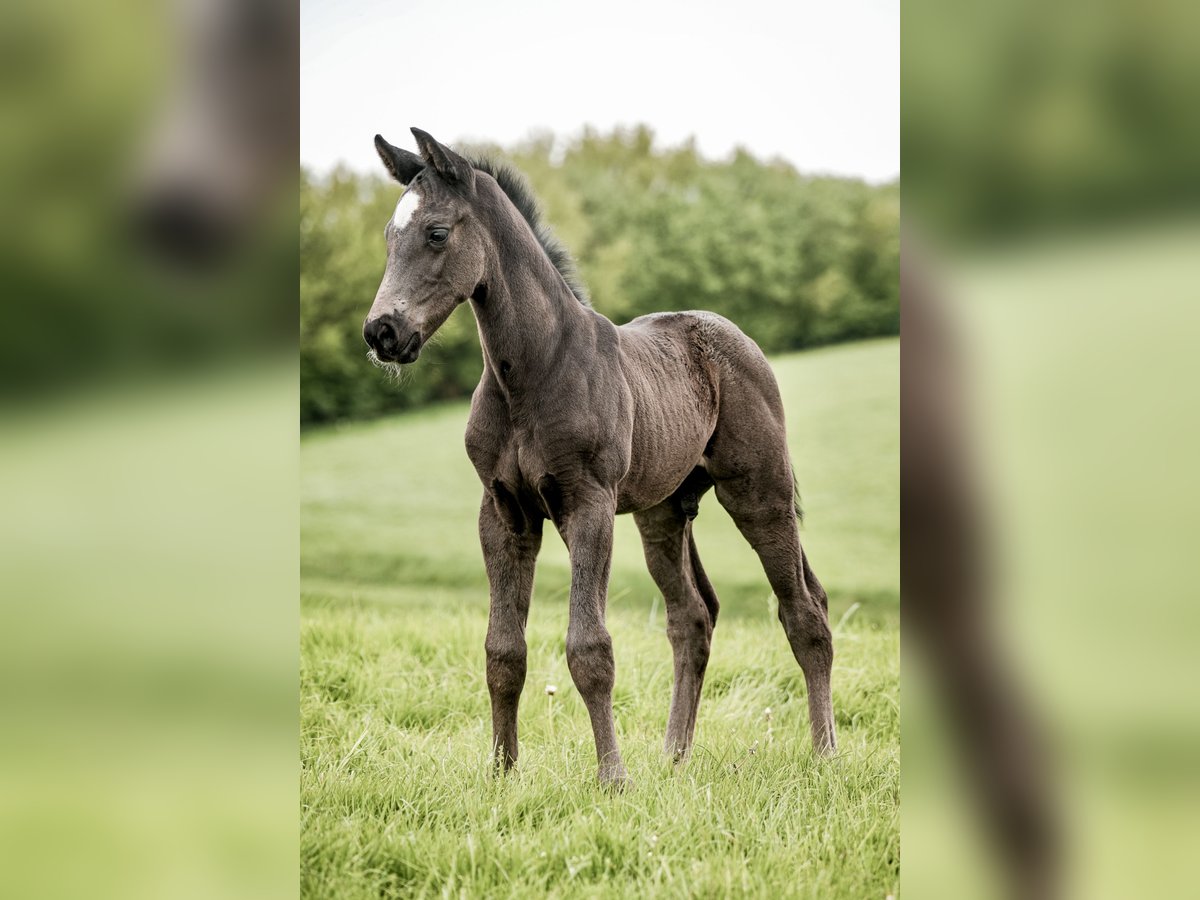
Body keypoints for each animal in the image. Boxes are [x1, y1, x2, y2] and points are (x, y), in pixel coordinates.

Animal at [364, 128, 835, 787]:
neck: (532, 374)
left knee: (804, 613)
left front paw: (612, 779)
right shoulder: (503, 514)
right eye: (389, 233)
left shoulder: (587, 505)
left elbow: (590, 648)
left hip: (758, 492)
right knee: (693, 617)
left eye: (435, 233)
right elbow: (502, 650)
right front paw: (502, 775)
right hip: (663, 513)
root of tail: (737, 338)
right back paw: (674, 757)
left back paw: (824, 755)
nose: (382, 333)